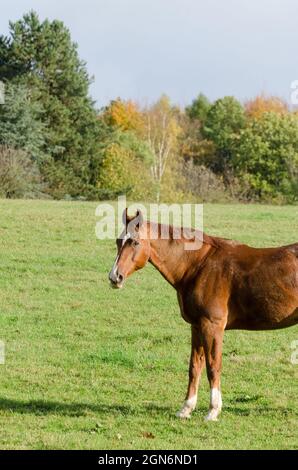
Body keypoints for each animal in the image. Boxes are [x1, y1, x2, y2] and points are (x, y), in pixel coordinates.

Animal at [109, 207, 298, 420]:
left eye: (135, 242)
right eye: (118, 241)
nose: (115, 277)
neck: (198, 266)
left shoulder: (211, 325)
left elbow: (213, 366)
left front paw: (213, 410)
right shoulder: (196, 325)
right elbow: (194, 367)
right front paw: (186, 408)